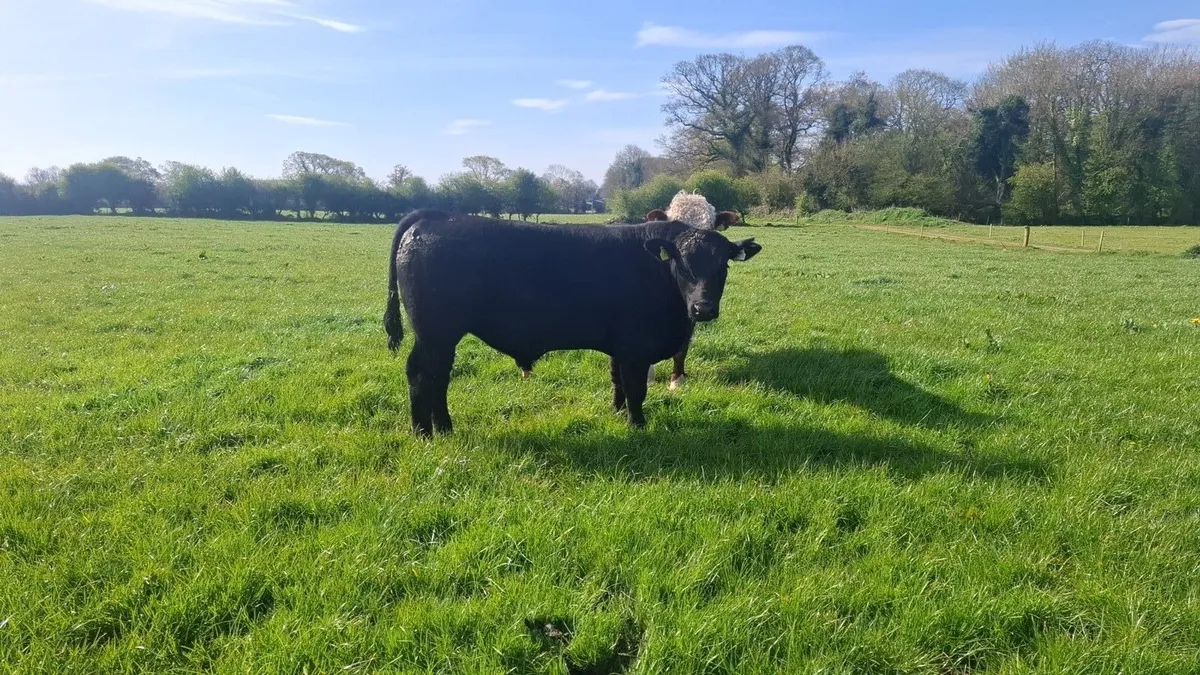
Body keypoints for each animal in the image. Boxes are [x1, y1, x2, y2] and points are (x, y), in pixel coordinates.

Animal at [384, 209, 762, 436]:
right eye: (683, 264)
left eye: (723, 265)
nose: (703, 308)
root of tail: (438, 217)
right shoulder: (635, 347)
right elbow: (635, 389)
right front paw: (637, 425)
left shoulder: (619, 346)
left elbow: (618, 383)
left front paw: (617, 414)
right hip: (435, 334)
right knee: (422, 375)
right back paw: (424, 434)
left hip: (441, 338)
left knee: (438, 378)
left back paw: (443, 428)